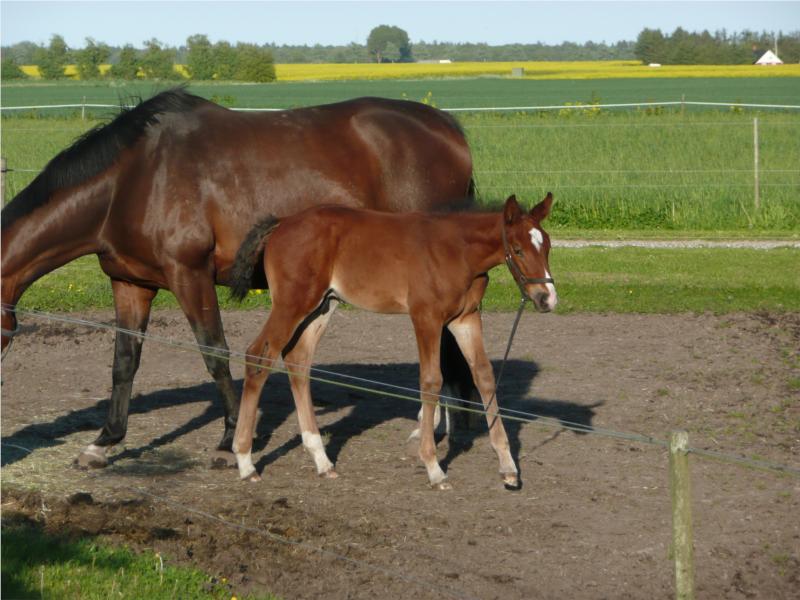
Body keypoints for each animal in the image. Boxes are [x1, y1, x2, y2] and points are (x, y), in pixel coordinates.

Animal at [230, 195, 556, 490]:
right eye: (518, 250)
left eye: (548, 246)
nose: (547, 299)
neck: (457, 251)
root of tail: (282, 223)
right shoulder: (426, 317)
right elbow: (431, 381)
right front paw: (434, 469)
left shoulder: (466, 319)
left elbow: (484, 376)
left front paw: (508, 468)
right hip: (291, 304)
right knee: (258, 356)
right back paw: (246, 463)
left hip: (322, 306)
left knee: (298, 361)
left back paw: (322, 461)